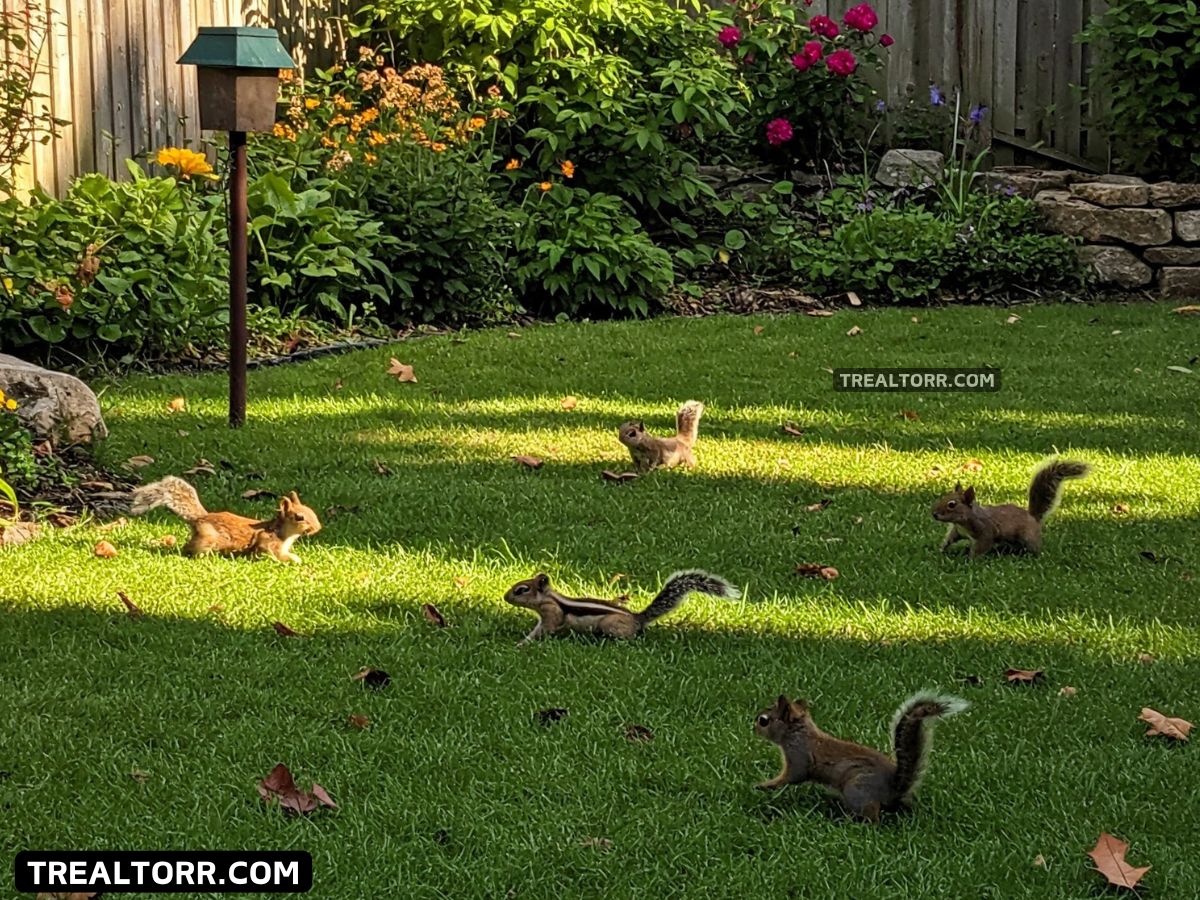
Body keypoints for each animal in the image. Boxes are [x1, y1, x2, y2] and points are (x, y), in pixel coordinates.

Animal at [129, 476, 321, 563]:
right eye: (299, 517)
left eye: (312, 511)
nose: (317, 528)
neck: (285, 533)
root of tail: (201, 518)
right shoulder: (268, 542)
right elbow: (273, 553)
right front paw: (294, 560)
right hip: (209, 538)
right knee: (189, 548)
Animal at [503, 569, 740, 644]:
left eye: (522, 589)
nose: (505, 597)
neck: (549, 598)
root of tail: (638, 618)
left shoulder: (552, 614)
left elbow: (545, 630)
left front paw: (523, 643)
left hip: (610, 624)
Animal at [754, 693, 968, 822]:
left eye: (764, 720)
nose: (753, 725)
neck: (799, 732)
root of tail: (894, 790)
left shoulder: (799, 756)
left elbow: (793, 776)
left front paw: (765, 785)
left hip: (857, 790)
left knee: (873, 818)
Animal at [932, 458, 1090, 558]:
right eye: (945, 497)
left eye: (952, 504)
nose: (934, 514)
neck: (963, 521)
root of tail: (1034, 517)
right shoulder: (957, 531)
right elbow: (949, 539)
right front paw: (940, 549)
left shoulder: (985, 531)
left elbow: (982, 545)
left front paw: (970, 560)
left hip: (1028, 537)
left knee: (1034, 547)